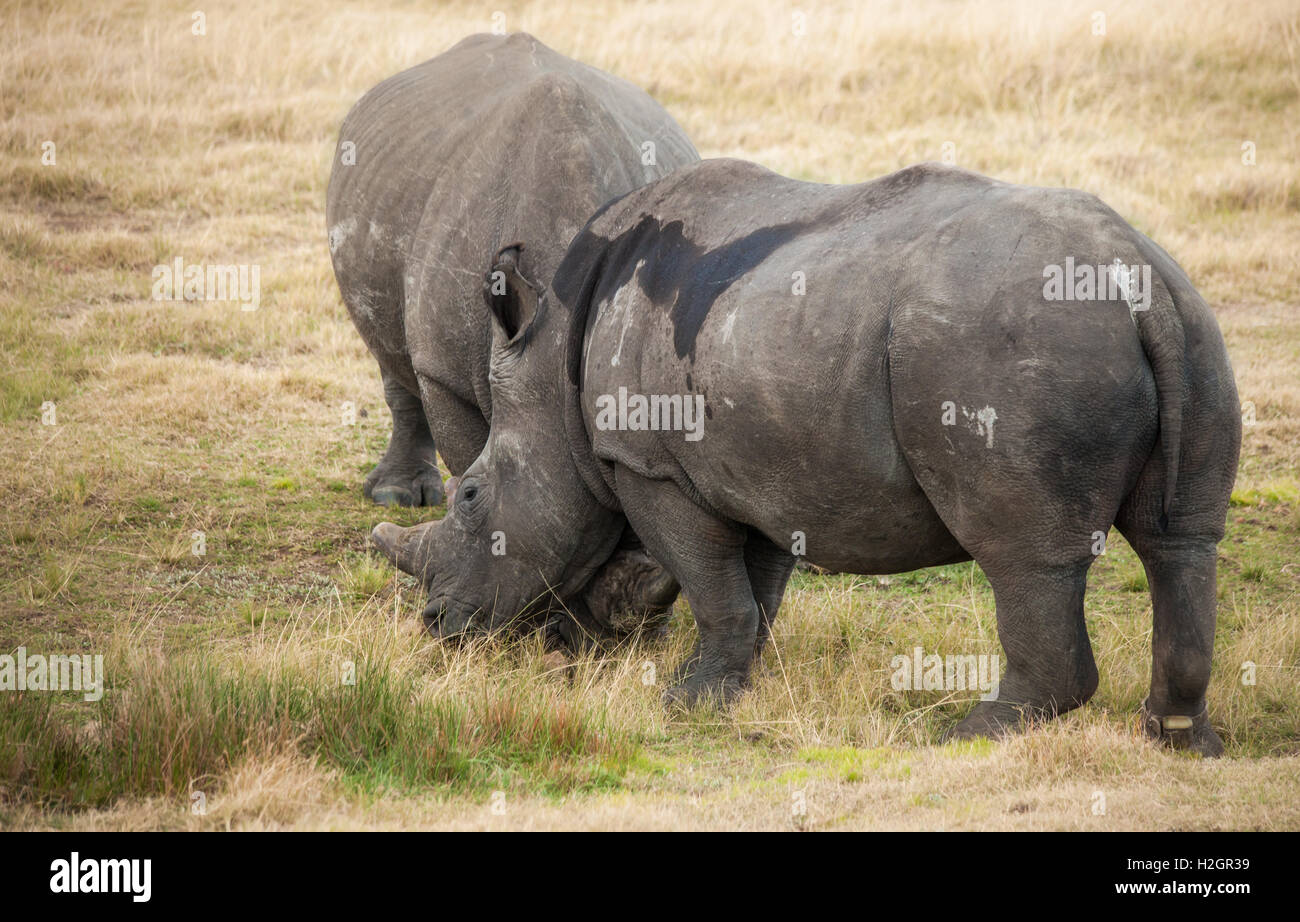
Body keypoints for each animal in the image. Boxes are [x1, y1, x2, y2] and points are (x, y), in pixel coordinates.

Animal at [327, 32, 702, 645]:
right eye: (472, 498)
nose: (437, 623)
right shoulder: (448, 373)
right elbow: (473, 455)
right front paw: (554, 627)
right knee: (393, 357)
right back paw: (395, 497)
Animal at [374, 154, 1237, 754]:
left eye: (471, 497)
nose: (435, 623)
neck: (553, 376)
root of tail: (1134, 277)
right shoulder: (763, 469)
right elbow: (752, 592)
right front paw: (729, 690)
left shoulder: (650, 467)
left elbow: (713, 583)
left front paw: (682, 702)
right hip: (1190, 323)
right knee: (1182, 541)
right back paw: (1176, 739)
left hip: (1012, 346)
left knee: (1026, 556)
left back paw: (977, 729)